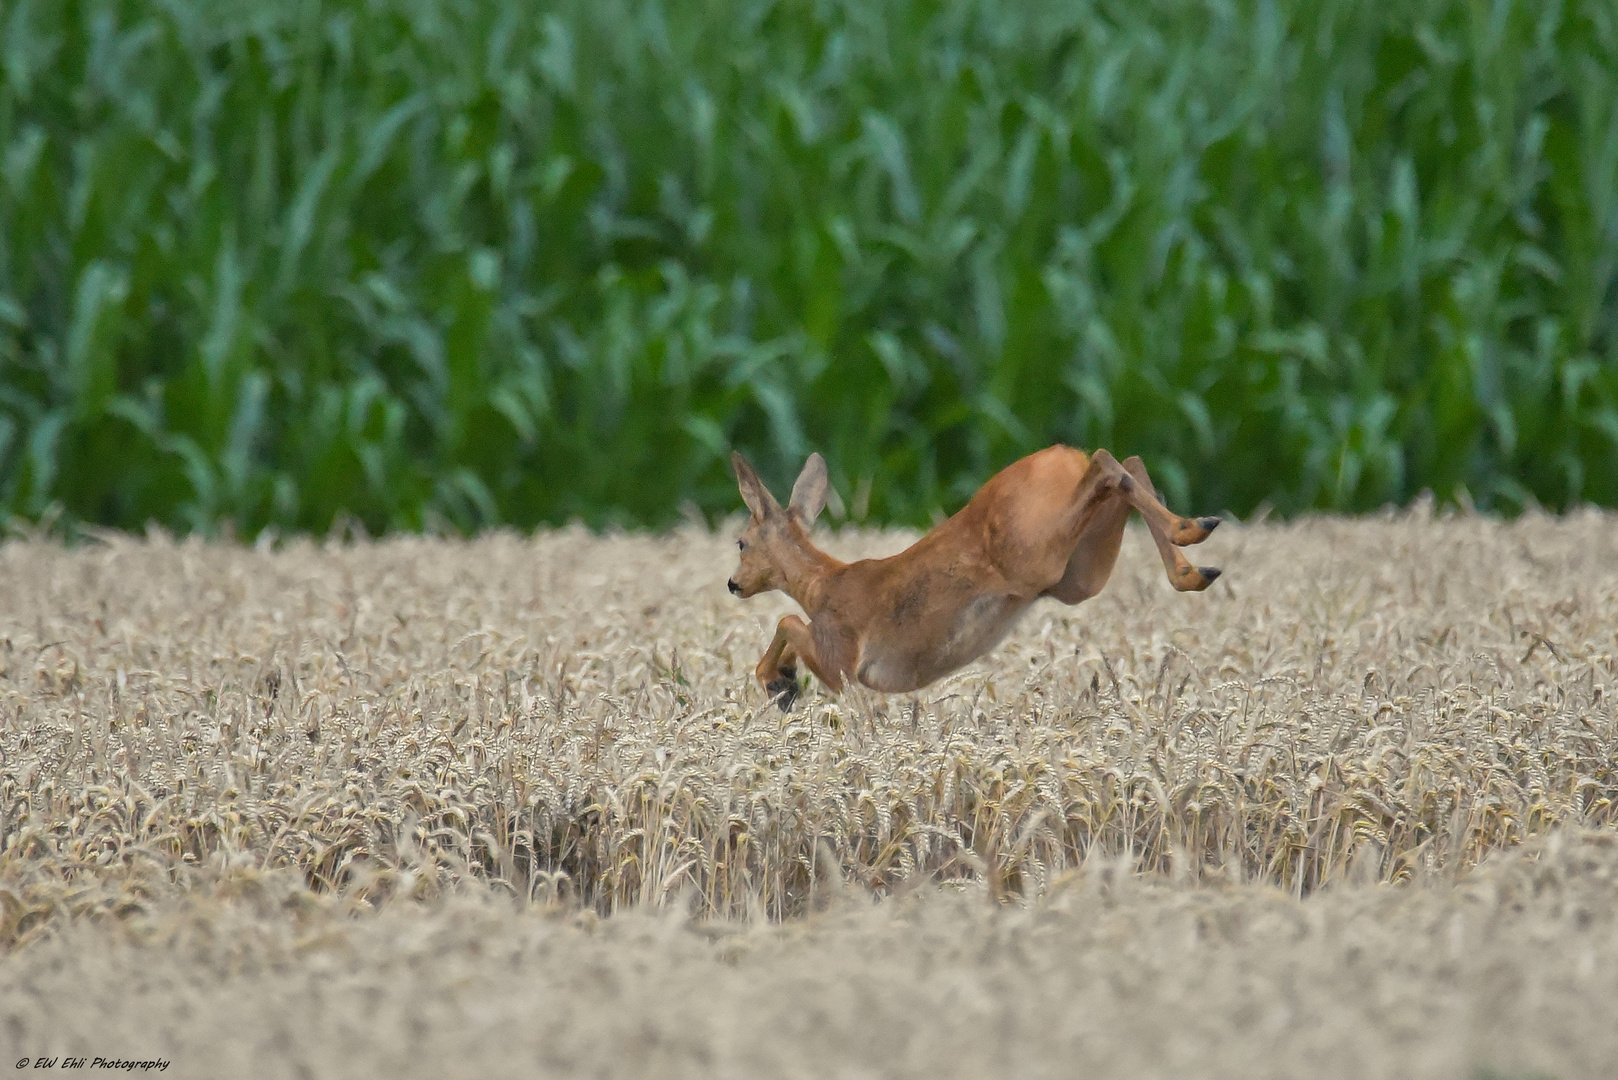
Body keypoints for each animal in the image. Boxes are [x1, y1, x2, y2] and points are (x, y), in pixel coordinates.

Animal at [728, 443, 1216, 712]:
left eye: (741, 542)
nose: (733, 584)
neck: (821, 585)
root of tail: (1064, 457)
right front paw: (784, 682)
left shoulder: (841, 658)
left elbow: (789, 622)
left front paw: (778, 684)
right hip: (1077, 574)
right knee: (1127, 462)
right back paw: (1196, 558)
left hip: (1037, 550)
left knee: (1107, 463)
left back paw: (1190, 531)